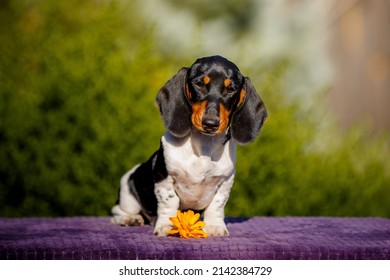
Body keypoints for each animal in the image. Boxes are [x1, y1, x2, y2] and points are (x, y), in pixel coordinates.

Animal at [111, 55, 266, 236]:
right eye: (199, 84)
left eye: (231, 89)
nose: (210, 123)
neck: (204, 146)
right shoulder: (164, 178)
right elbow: (169, 202)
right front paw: (167, 225)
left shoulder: (225, 182)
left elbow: (217, 205)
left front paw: (215, 226)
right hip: (129, 195)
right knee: (116, 212)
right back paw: (130, 219)